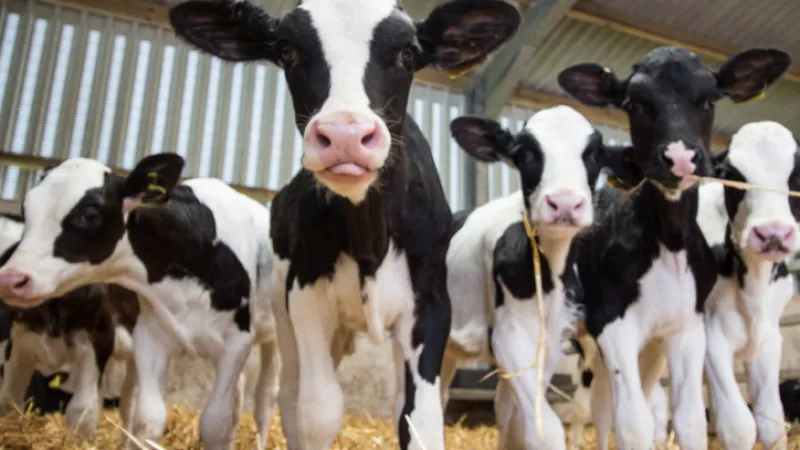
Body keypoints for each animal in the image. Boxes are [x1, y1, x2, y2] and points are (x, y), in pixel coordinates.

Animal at [0, 153, 279, 450]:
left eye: (90, 214)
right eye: (27, 207)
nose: (11, 278)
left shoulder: (237, 342)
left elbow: (216, 424)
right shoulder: (149, 336)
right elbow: (148, 420)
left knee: (264, 401)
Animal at [166, 1, 522, 449]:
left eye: (407, 53)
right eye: (287, 51)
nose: (345, 135)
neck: (369, 238)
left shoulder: (431, 305)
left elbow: (419, 419)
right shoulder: (304, 295)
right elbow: (319, 412)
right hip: (283, 310)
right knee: (290, 394)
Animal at [440, 105, 620, 449]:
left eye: (594, 153)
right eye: (526, 152)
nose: (565, 202)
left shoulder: (548, 342)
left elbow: (516, 422)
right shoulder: (509, 336)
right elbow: (544, 429)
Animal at [698, 121, 800, 450]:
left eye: (796, 174)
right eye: (731, 175)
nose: (772, 233)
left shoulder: (768, 340)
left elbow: (771, 423)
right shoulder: (710, 335)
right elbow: (738, 427)